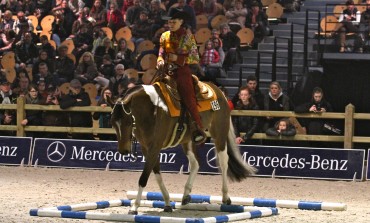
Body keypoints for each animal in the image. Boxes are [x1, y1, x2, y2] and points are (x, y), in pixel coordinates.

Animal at [108, 76, 256, 214]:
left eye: (128, 122)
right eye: (113, 123)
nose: (123, 151)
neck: (152, 108)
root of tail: (219, 91)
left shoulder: (155, 147)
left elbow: (144, 177)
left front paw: (134, 207)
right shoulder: (147, 148)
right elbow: (157, 174)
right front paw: (167, 203)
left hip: (219, 134)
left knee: (223, 162)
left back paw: (225, 197)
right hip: (188, 141)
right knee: (196, 163)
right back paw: (185, 195)